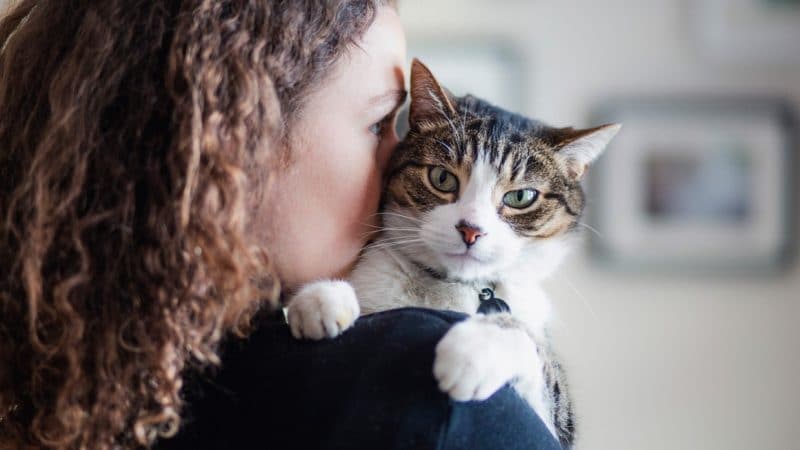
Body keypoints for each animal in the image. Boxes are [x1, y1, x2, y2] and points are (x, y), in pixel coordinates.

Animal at [284, 58, 620, 448]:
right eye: (442, 178)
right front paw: (322, 300)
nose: (471, 229)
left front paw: (475, 350)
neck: (452, 288)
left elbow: (533, 351)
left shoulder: (558, 422)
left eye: (521, 197)